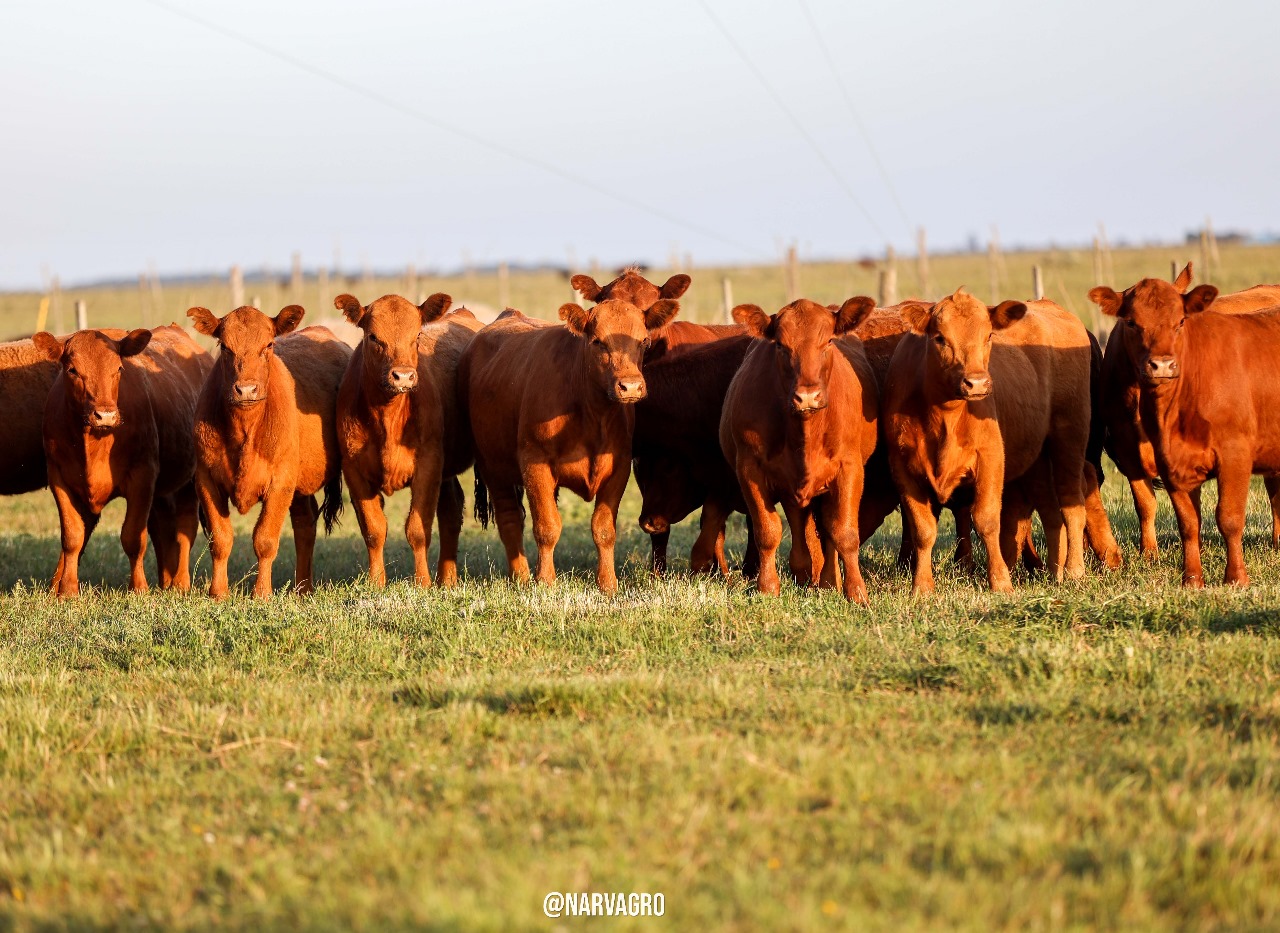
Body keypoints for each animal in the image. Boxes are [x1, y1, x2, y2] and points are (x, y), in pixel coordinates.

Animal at [33, 323, 209, 593]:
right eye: (72, 370)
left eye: (118, 369)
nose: (105, 415)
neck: (93, 441)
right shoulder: (58, 478)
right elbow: (72, 537)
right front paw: (67, 590)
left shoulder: (142, 475)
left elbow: (133, 537)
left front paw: (138, 588)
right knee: (163, 529)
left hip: (189, 481)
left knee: (185, 528)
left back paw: (180, 584)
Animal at [332, 294, 481, 586]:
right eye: (373, 337)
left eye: (417, 335)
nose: (402, 376)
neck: (388, 416)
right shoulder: (353, 470)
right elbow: (374, 529)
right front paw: (376, 583)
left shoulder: (428, 465)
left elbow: (417, 529)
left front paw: (422, 582)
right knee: (451, 510)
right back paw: (447, 579)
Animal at [460, 294, 680, 593]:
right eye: (597, 341)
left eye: (644, 340)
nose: (631, 387)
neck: (592, 414)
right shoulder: (535, 464)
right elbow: (547, 527)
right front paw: (545, 582)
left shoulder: (619, 467)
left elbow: (604, 529)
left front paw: (608, 584)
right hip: (493, 467)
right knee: (510, 521)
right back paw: (522, 577)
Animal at [721, 298, 880, 604]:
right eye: (781, 346)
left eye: (828, 341)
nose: (807, 396)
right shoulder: (749, 468)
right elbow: (767, 531)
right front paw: (767, 587)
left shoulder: (850, 468)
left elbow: (845, 532)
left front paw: (857, 592)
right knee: (799, 522)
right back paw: (805, 573)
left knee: (827, 527)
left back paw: (829, 582)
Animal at [885, 289, 1095, 588]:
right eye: (940, 338)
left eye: (988, 336)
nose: (976, 383)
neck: (943, 415)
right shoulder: (902, 466)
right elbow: (923, 530)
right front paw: (922, 586)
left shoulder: (990, 457)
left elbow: (986, 520)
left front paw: (1000, 581)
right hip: (1037, 459)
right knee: (1051, 511)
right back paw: (1055, 572)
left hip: (1071, 435)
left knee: (1072, 504)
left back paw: (1074, 570)